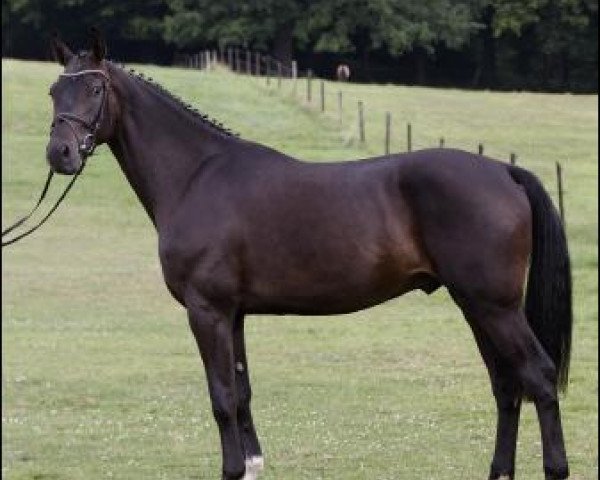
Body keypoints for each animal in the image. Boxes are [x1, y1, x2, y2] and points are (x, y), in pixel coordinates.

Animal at [44, 31, 576, 480]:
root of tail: (504, 172)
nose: (59, 154)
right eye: (54, 91)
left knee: (539, 377)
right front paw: (252, 466)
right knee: (507, 385)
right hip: (476, 307)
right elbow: (242, 391)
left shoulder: (206, 311)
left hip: (494, 306)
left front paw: (231, 470)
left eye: (94, 89)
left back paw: (555, 468)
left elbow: (221, 396)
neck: (196, 175)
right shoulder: (234, 314)